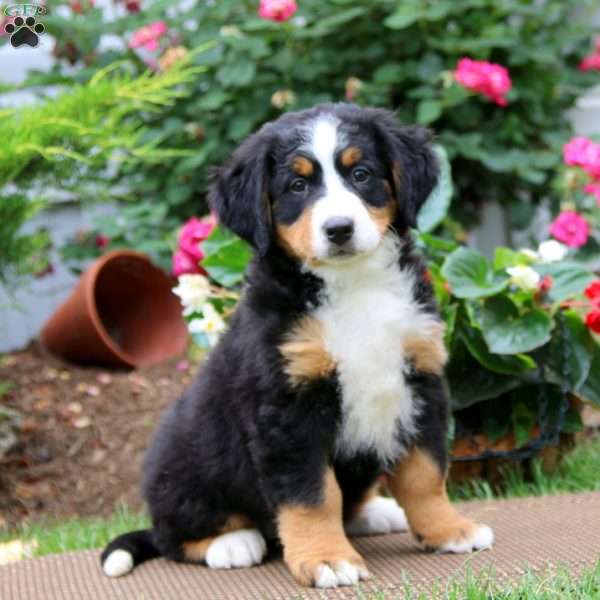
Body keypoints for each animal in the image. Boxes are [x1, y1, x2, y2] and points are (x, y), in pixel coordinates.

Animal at [102, 102, 492, 584]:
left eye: (361, 174)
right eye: (298, 185)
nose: (339, 228)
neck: (354, 286)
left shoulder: (420, 381)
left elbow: (425, 474)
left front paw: (448, 530)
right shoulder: (288, 408)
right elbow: (313, 495)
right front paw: (327, 558)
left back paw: (376, 512)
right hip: (184, 460)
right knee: (174, 534)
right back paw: (232, 542)